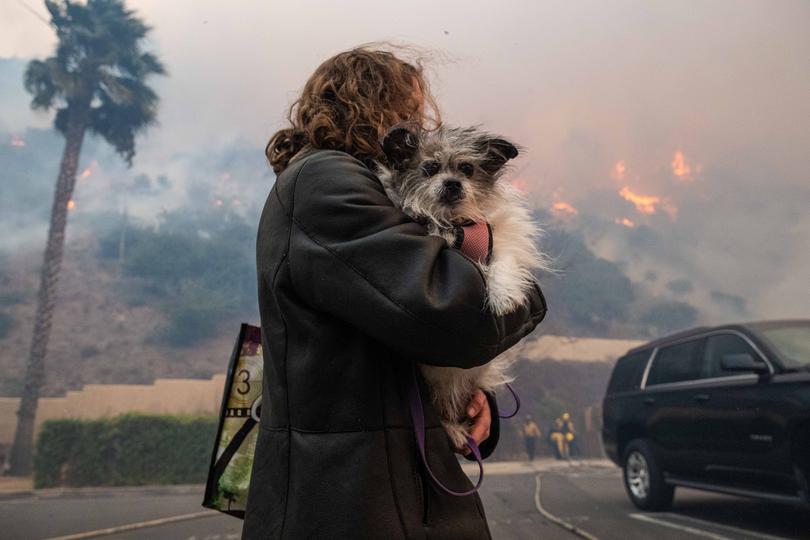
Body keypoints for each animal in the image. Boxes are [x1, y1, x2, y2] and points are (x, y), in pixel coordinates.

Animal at [374, 124, 548, 450]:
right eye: (430, 168)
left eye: (467, 169)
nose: (453, 183)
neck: (455, 223)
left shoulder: (499, 238)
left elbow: (503, 261)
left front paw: (504, 295)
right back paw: (453, 430)